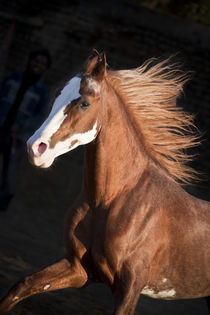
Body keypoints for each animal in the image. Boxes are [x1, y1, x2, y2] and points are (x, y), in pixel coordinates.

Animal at [0, 50, 210, 314]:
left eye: (84, 103)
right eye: (58, 93)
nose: (35, 148)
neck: (111, 200)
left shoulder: (129, 288)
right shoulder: (78, 268)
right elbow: (20, 288)